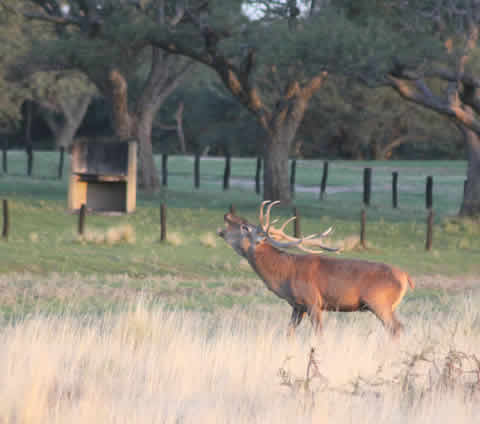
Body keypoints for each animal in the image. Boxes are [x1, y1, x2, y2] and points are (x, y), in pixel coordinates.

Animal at [216, 201, 414, 338]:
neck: (283, 275)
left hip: (379, 302)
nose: (227, 215)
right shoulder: (297, 306)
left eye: (245, 227)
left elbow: (319, 334)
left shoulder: (313, 301)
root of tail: (406, 277)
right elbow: (289, 333)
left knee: (397, 329)